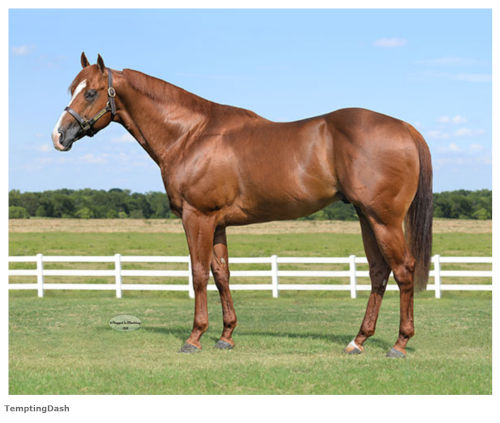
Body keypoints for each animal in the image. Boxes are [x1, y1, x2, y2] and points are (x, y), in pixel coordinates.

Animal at [52, 53, 432, 358]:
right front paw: (226, 336)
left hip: (384, 219)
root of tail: (406, 128)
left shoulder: (197, 217)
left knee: (403, 270)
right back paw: (358, 341)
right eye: (71, 88)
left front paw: (194, 338)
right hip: (366, 217)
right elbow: (222, 274)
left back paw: (399, 344)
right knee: (379, 272)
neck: (192, 135)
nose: (59, 136)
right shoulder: (217, 223)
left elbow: (198, 274)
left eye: (90, 92)